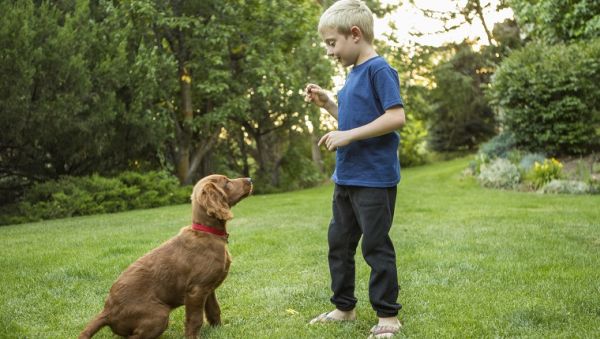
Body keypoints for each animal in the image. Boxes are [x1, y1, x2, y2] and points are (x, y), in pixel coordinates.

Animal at [78, 175, 252, 339]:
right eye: (226, 182)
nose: (250, 179)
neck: (207, 232)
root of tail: (107, 311)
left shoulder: (209, 288)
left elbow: (214, 310)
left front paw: (220, 329)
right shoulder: (196, 290)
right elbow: (195, 319)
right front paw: (193, 336)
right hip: (159, 314)